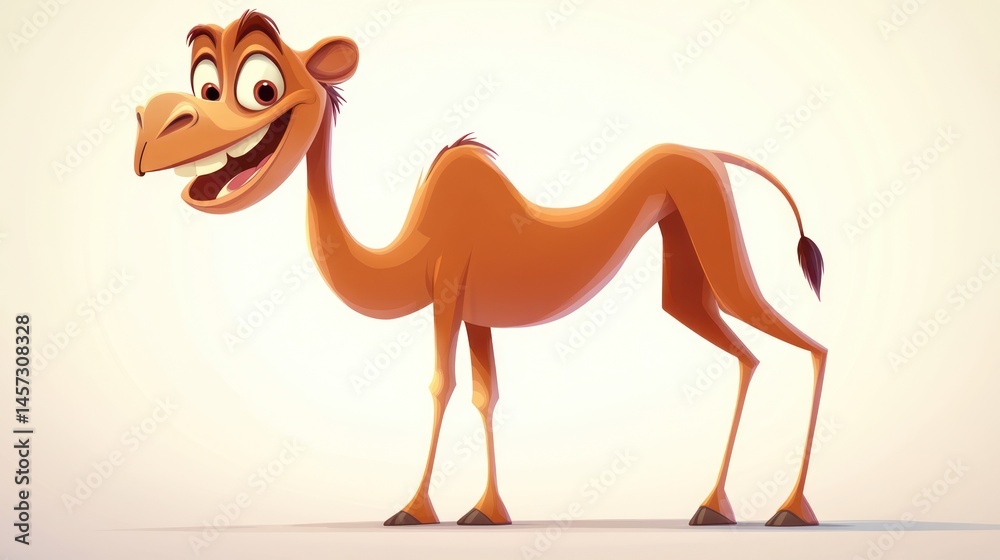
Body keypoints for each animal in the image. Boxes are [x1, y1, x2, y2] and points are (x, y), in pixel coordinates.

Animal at [133, 10, 828, 527]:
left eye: (262, 87)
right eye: (205, 84)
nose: (148, 129)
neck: (409, 248)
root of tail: (709, 154)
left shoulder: (446, 290)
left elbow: (440, 387)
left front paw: (412, 510)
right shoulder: (476, 314)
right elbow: (484, 393)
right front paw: (487, 511)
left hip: (711, 220)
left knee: (809, 345)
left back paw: (790, 510)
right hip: (684, 250)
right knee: (743, 351)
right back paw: (715, 507)